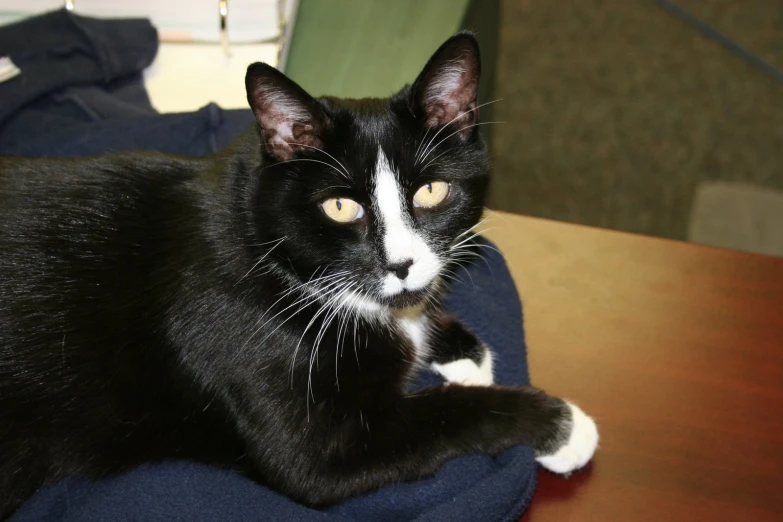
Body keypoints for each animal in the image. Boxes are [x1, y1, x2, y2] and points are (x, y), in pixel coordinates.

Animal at [0, 32, 596, 516]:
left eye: (431, 191)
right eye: (340, 207)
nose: (400, 265)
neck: (263, 242)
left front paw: (457, 347)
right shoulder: (311, 440)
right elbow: (433, 418)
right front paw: (559, 425)